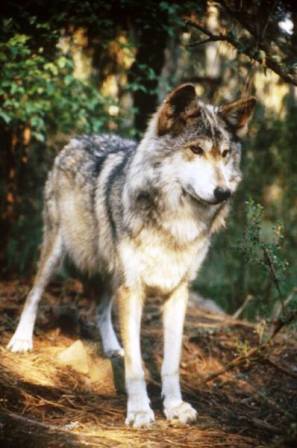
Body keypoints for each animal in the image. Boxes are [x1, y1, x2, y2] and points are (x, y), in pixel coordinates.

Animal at [6, 83, 253, 428]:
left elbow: (171, 362)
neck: (177, 224)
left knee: (100, 309)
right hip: (57, 253)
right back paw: (22, 340)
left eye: (225, 153)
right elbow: (136, 365)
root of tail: (79, 138)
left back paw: (113, 347)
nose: (224, 193)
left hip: (112, 273)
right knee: (34, 293)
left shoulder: (178, 292)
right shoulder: (133, 288)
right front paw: (139, 410)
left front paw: (174, 407)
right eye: (195, 150)